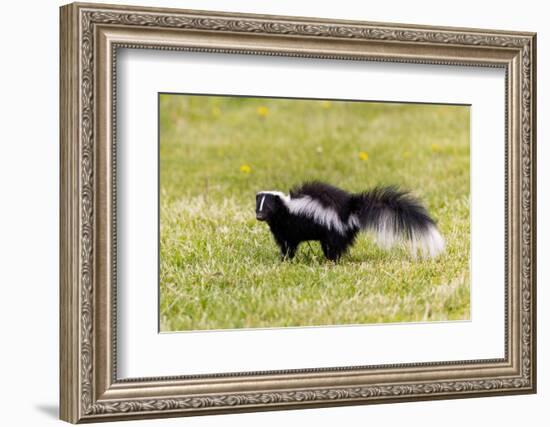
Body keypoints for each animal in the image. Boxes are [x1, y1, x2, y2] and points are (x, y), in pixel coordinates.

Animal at [256, 181, 446, 260]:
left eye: (268, 208)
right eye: (257, 207)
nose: (259, 217)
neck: (286, 208)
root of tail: (350, 210)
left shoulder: (288, 227)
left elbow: (288, 245)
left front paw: (285, 259)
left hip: (333, 228)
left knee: (333, 247)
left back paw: (331, 261)